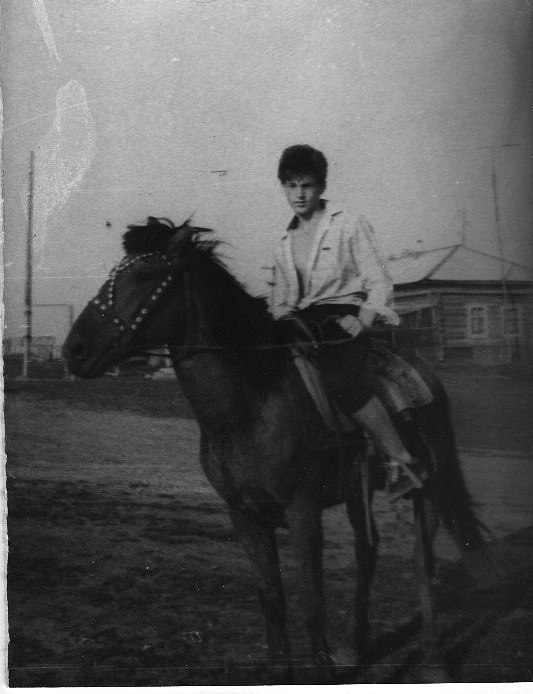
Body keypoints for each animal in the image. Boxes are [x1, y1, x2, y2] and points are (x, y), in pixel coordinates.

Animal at [63, 219, 490, 684]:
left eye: (144, 275)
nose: (74, 350)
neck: (252, 402)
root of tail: (420, 369)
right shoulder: (245, 513)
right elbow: (272, 597)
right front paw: (279, 671)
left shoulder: (302, 513)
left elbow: (312, 602)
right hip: (358, 494)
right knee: (367, 553)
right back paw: (354, 648)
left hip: (427, 485)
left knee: (420, 562)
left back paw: (434, 661)